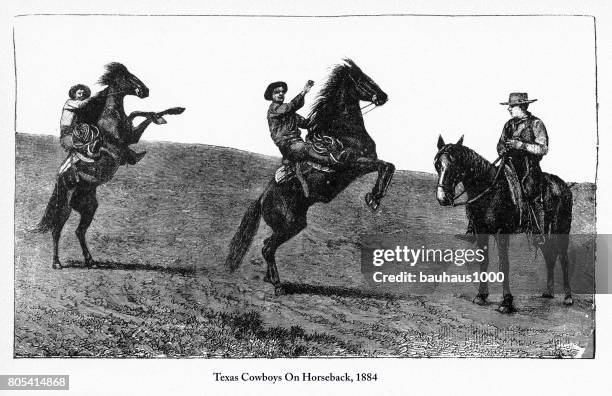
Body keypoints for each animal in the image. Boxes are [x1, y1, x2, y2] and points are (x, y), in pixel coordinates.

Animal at [35, 62, 184, 270]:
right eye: (129, 77)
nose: (145, 91)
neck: (111, 118)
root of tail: (60, 179)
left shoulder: (132, 136)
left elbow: (139, 114)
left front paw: (173, 111)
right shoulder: (118, 145)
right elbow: (125, 136)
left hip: (89, 207)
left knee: (79, 231)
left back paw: (91, 261)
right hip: (64, 207)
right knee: (57, 229)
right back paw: (57, 263)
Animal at [224, 59, 392, 294]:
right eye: (363, 79)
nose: (383, 96)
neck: (341, 131)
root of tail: (262, 199)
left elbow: (388, 166)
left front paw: (375, 198)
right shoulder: (353, 163)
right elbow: (386, 165)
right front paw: (373, 199)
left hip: (293, 226)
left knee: (267, 246)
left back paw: (269, 278)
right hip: (289, 225)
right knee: (267, 248)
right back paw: (278, 285)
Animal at [432, 136, 572, 312]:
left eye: (455, 165)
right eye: (437, 165)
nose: (442, 198)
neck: (489, 189)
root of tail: (564, 186)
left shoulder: (501, 232)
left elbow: (504, 265)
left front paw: (506, 302)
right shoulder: (481, 231)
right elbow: (484, 262)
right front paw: (481, 296)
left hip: (561, 231)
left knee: (564, 259)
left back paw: (568, 297)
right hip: (541, 234)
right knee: (550, 257)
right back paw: (548, 292)